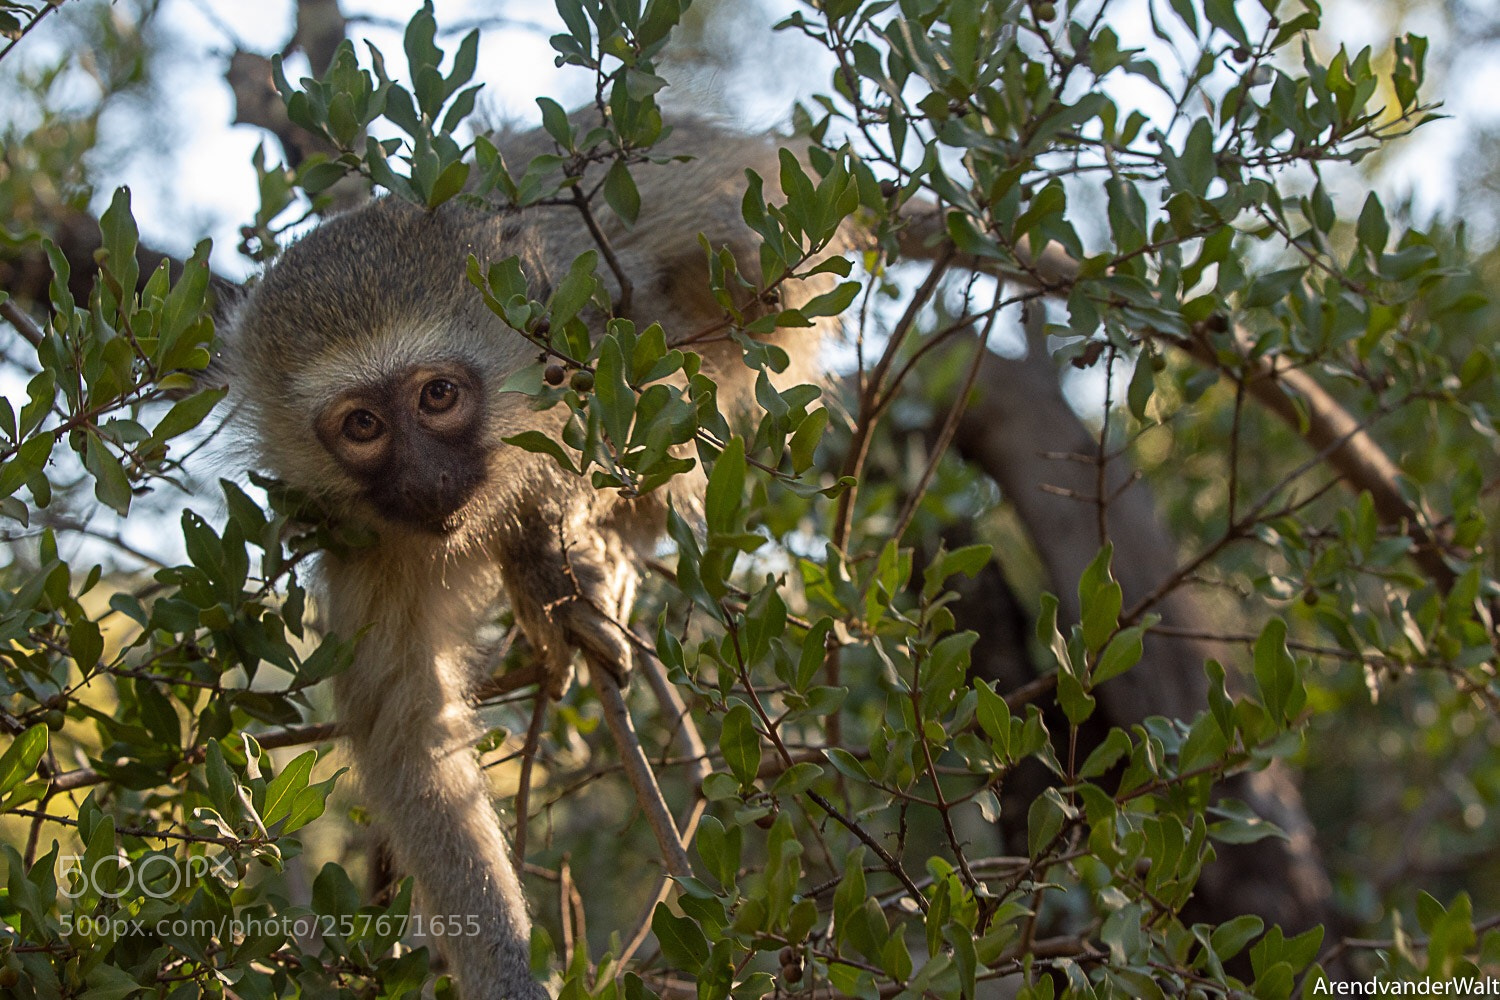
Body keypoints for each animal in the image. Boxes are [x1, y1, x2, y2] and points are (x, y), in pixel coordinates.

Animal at [222, 120, 852, 1000]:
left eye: (439, 397)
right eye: (362, 426)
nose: (429, 479)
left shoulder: (576, 328)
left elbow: (633, 394)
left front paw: (547, 559)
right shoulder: (367, 545)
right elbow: (413, 737)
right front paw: (504, 971)